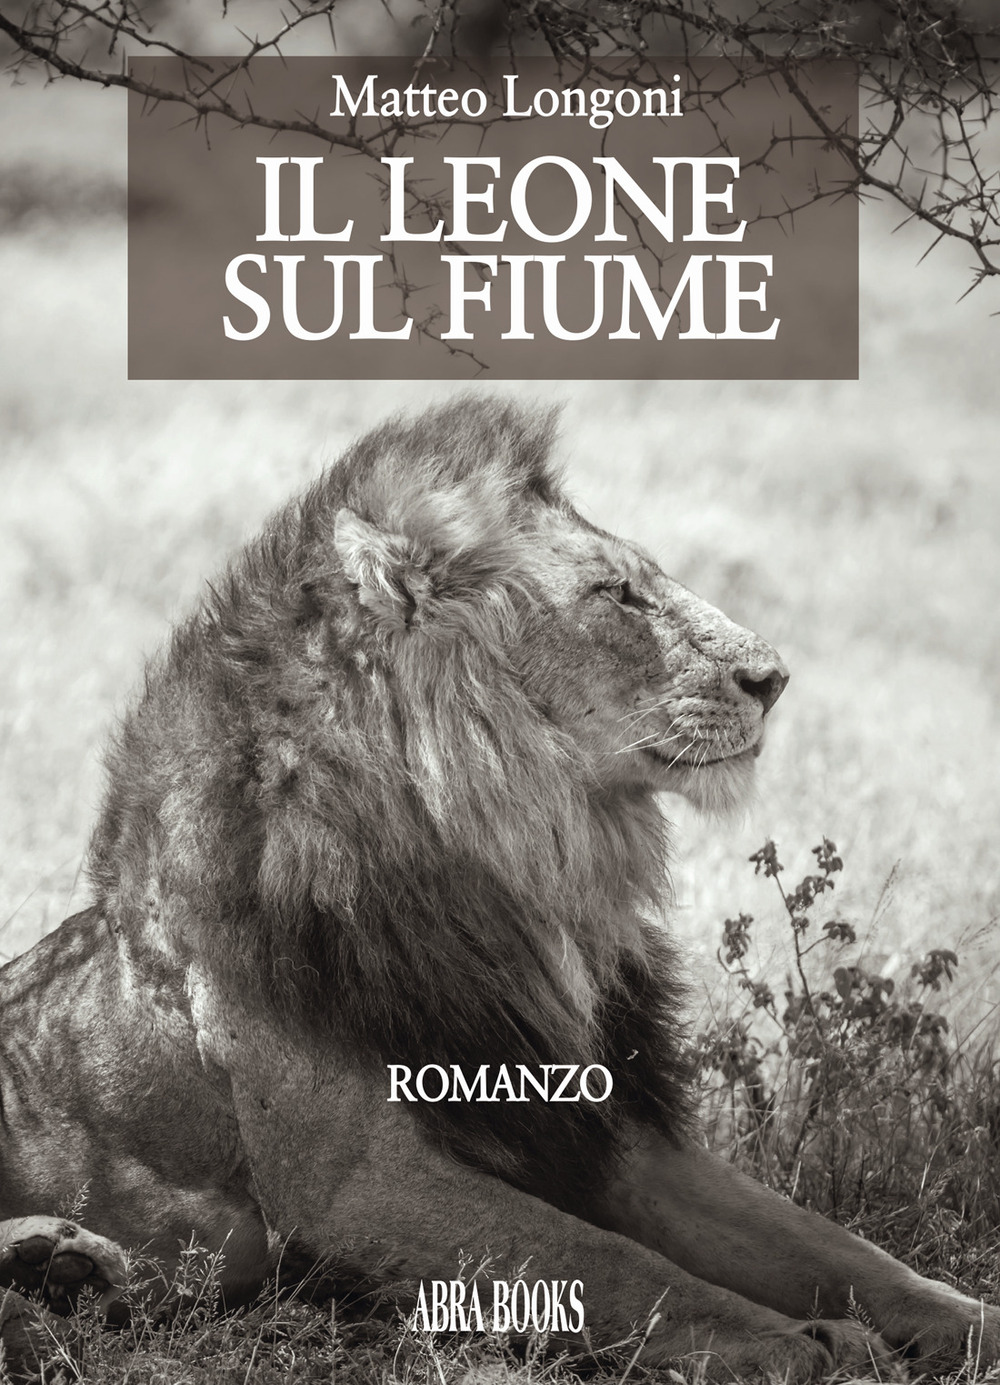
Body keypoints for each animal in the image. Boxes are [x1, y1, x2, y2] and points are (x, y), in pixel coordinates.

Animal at [1, 398, 997, 1381]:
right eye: (616, 594)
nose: (775, 678)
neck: (520, 877)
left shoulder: (612, 1132)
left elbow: (843, 1248)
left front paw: (967, 1319)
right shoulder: (357, 1185)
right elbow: (615, 1264)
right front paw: (801, 1341)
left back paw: (67, 1264)